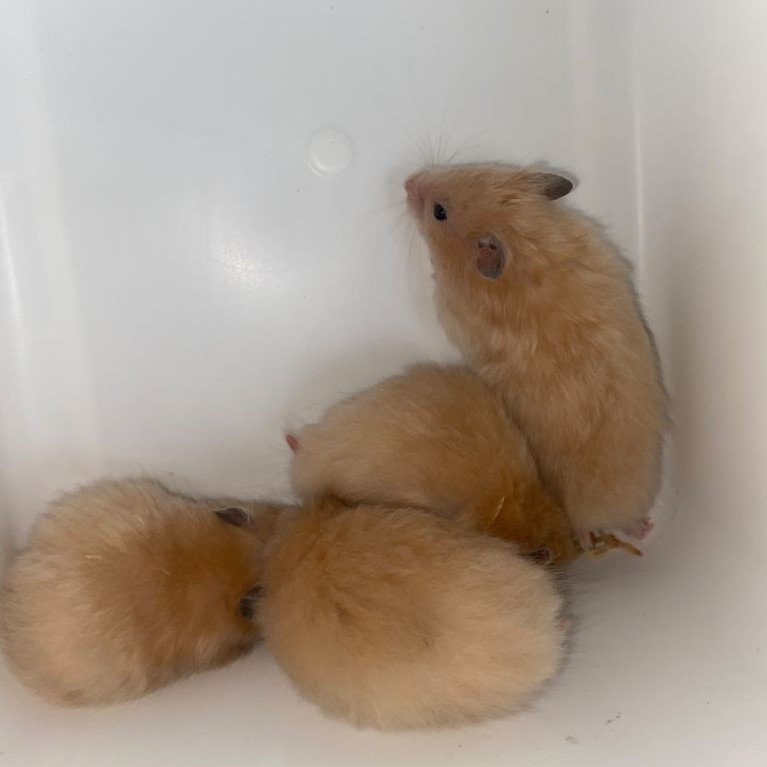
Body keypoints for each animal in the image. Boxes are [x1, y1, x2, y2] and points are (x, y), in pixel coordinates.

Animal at [405, 165, 667, 538]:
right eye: (469, 168)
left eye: (439, 212)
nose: (407, 182)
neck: (528, 244)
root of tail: (616, 514)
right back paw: (642, 526)